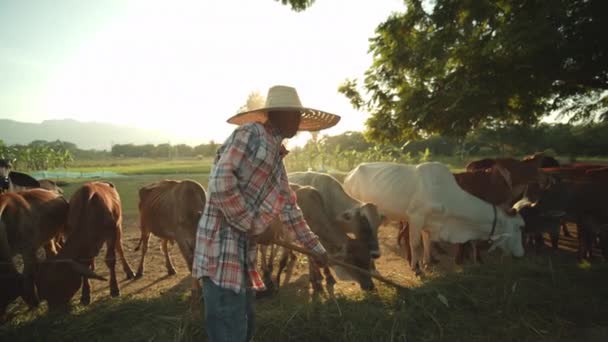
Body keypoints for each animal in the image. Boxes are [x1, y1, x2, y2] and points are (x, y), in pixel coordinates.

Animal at [35, 182, 134, 310]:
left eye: (56, 283)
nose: (53, 309)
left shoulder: (111, 232)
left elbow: (110, 260)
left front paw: (114, 288)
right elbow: (85, 264)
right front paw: (86, 294)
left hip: (118, 227)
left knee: (119, 248)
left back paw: (129, 271)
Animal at [344, 162, 524, 274]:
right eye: (518, 227)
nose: (521, 254)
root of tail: (349, 175)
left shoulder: (430, 223)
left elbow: (428, 242)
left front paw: (427, 262)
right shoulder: (416, 217)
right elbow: (416, 244)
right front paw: (416, 268)